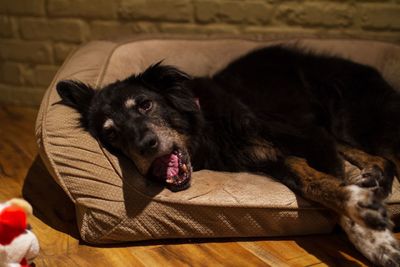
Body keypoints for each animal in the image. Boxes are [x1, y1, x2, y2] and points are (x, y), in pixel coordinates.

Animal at [56, 46, 400, 266]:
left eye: (144, 105)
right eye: (110, 134)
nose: (145, 146)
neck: (208, 127)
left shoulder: (311, 138)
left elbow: (339, 196)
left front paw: (377, 239)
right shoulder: (274, 158)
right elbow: (316, 184)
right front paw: (368, 214)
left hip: (341, 113)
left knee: (385, 156)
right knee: (379, 159)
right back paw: (372, 178)